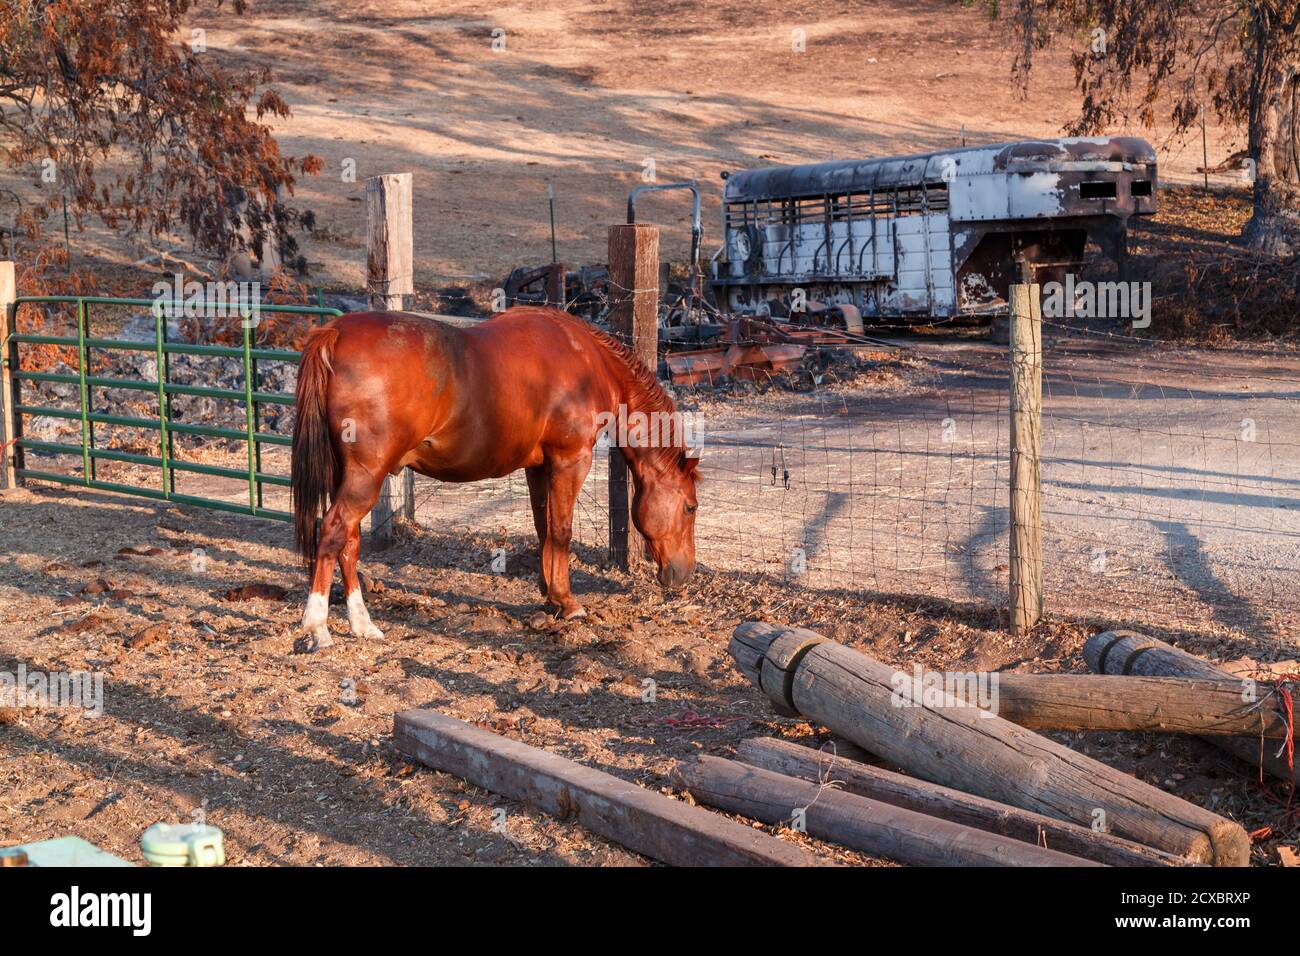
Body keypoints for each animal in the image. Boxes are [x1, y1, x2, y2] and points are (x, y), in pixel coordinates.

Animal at [289, 306, 702, 650]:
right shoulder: (570, 461)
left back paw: (362, 624)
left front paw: (551, 595)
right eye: (690, 507)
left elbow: (544, 528)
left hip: (350, 477)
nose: (684, 573)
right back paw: (318, 627)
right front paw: (568, 603)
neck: (588, 361)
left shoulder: (538, 466)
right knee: (332, 531)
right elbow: (562, 531)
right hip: (366, 477)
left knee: (349, 541)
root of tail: (335, 331)